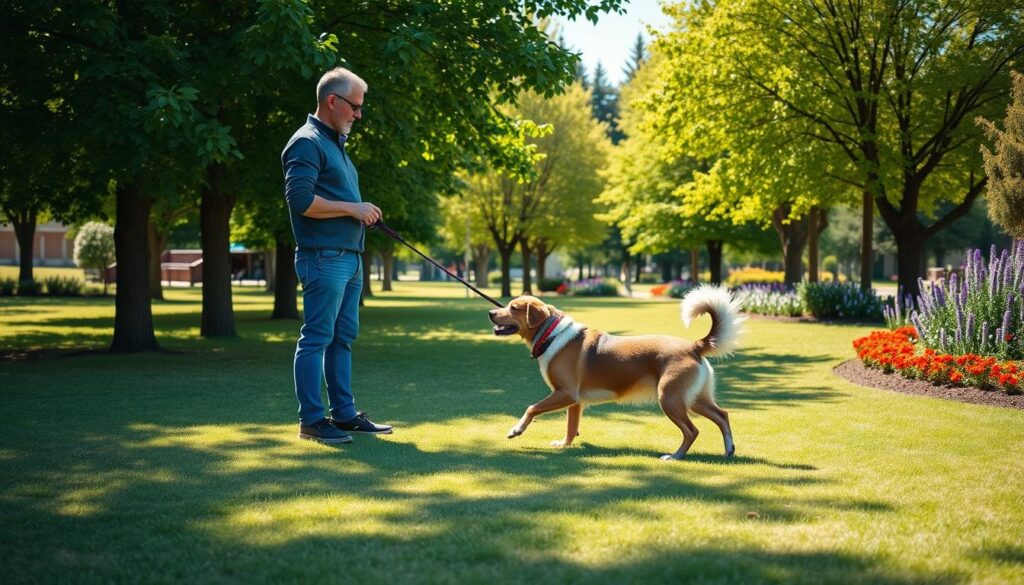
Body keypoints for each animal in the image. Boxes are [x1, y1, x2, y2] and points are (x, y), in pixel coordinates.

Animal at [487, 286, 745, 461]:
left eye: (513, 308)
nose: (490, 312)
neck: (551, 334)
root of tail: (694, 346)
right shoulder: (574, 401)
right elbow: (571, 427)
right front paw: (564, 444)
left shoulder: (565, 394)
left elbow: (532, 408)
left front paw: (516, 430)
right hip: (693, 399)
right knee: (722, 415)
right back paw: (729, 450)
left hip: (670, 398)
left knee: (692, 430)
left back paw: (675, 456)